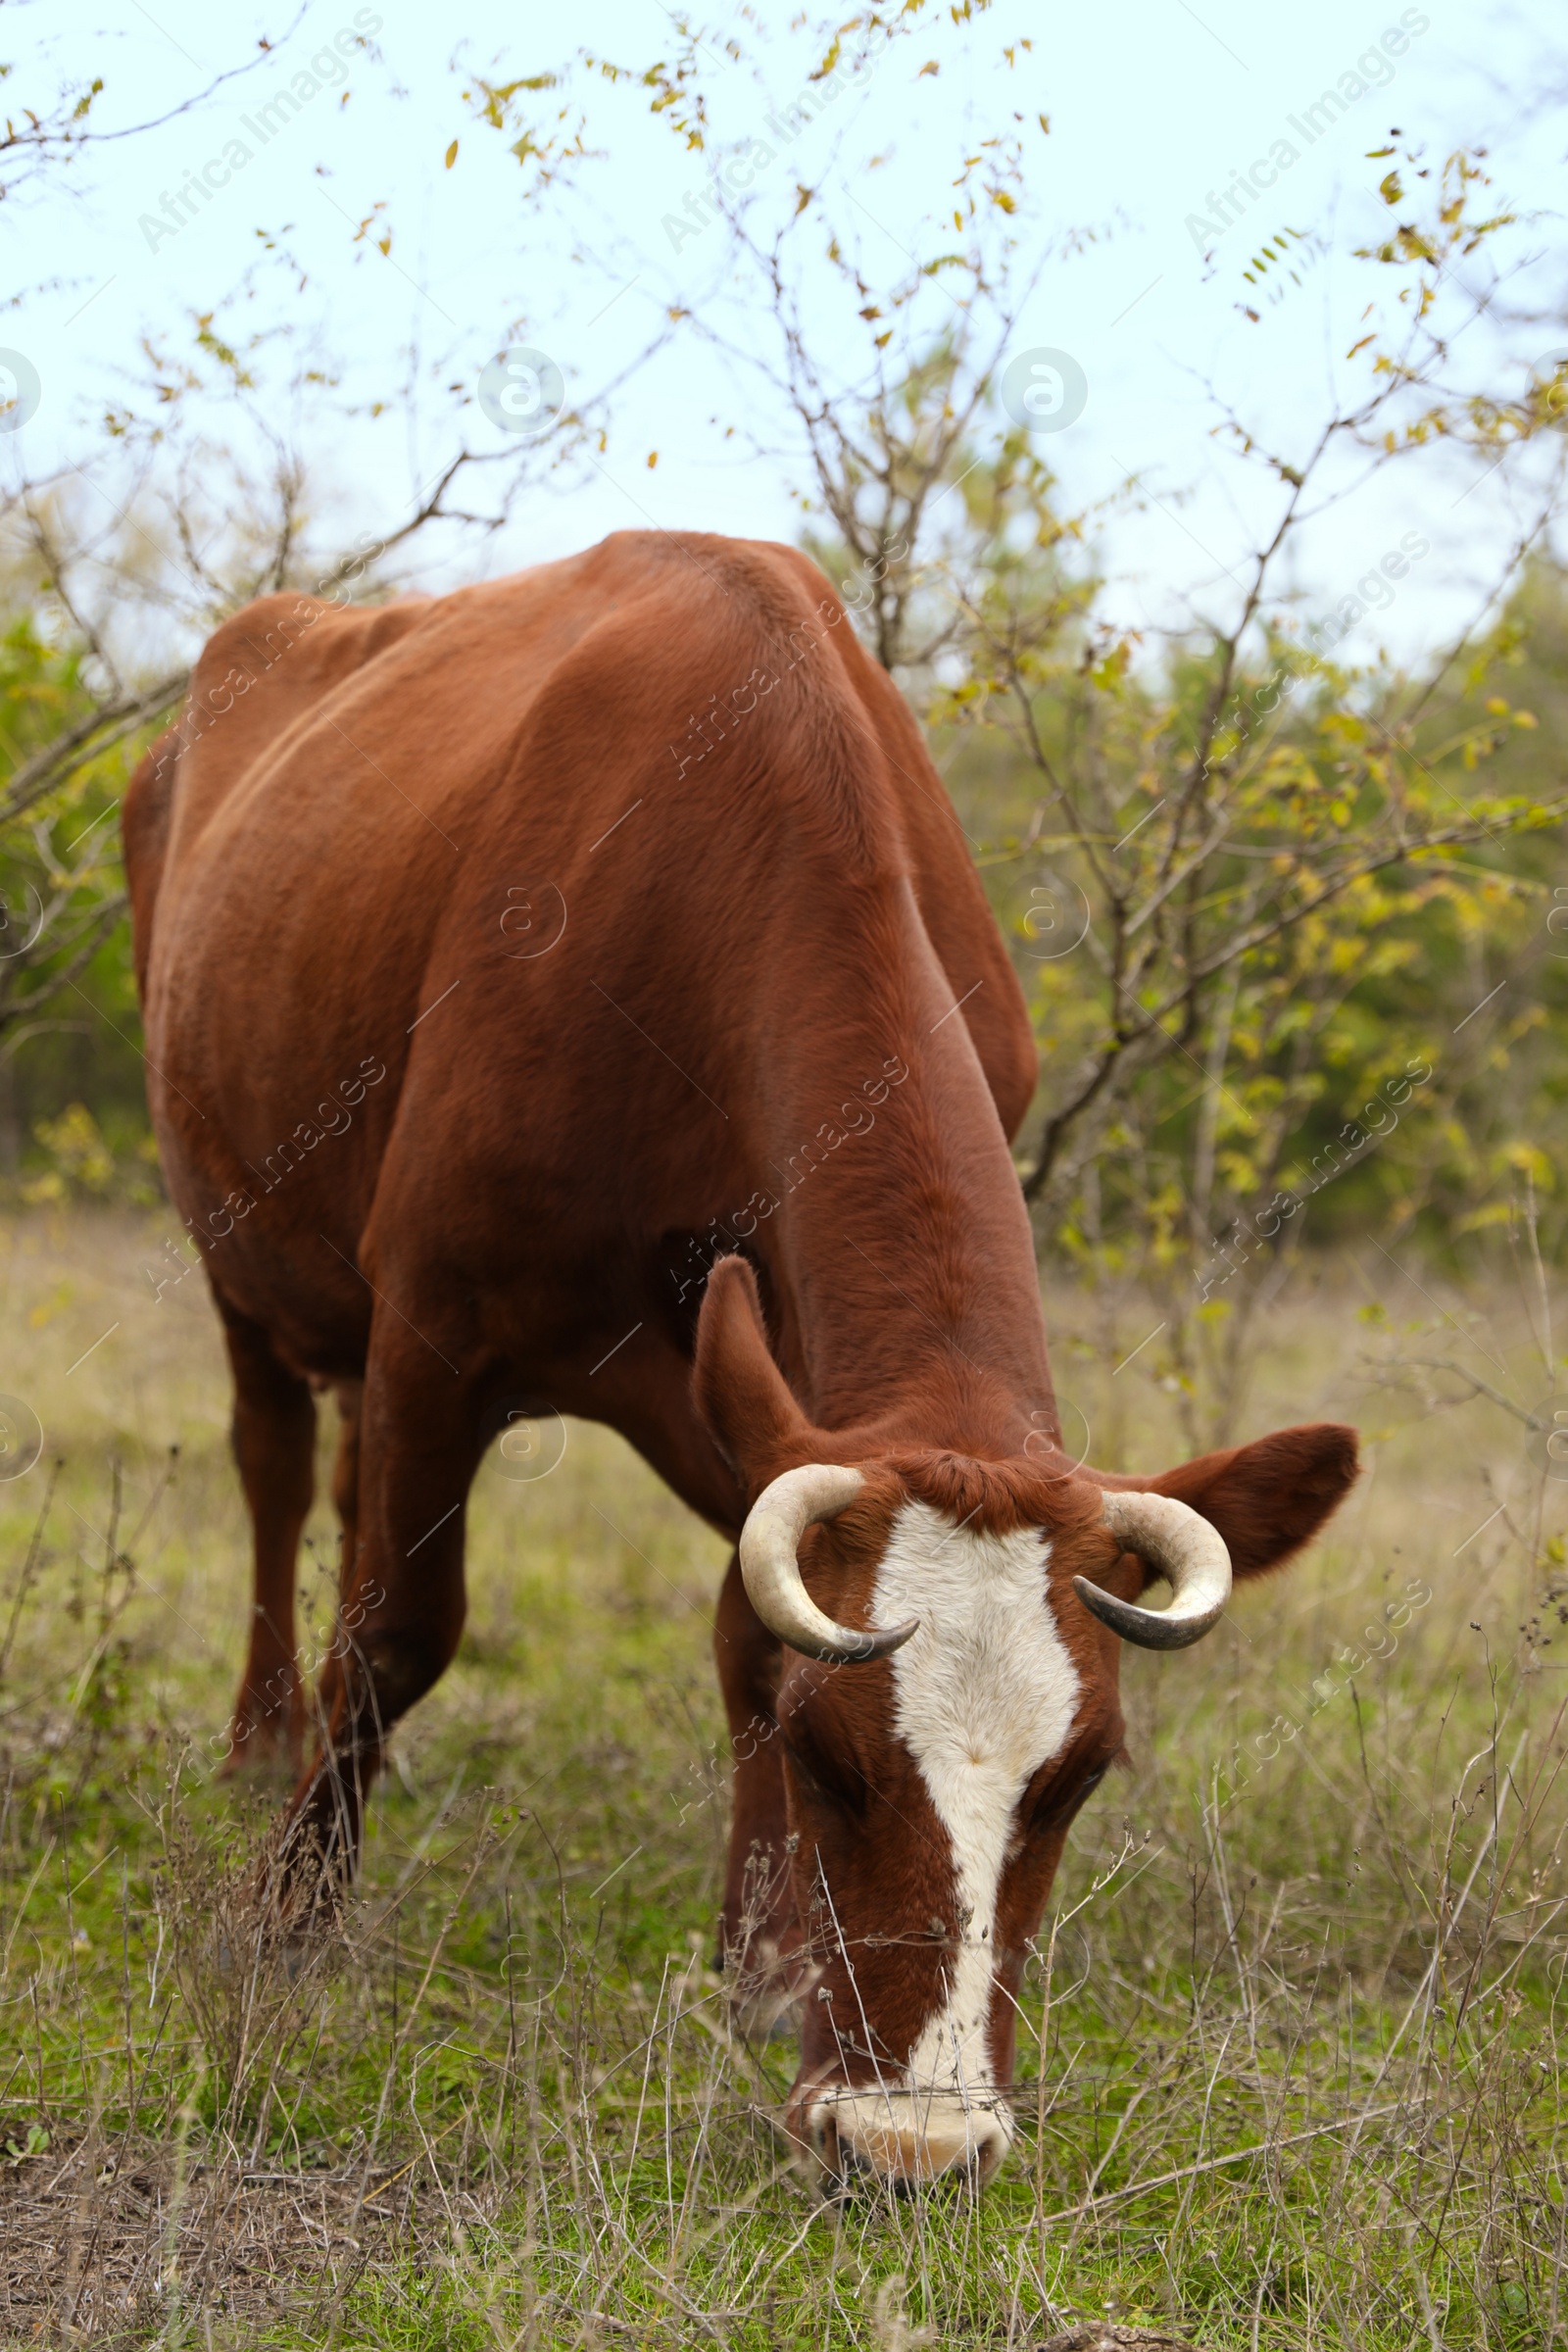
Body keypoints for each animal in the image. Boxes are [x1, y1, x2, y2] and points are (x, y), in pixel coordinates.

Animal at [122, 529, 1353, 2182]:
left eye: (1081, 1777)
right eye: (835, 1759)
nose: (916, 2144)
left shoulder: (760, 1401)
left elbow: (734, 1624)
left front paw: (760, 1959)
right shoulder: (437, 1320)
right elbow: (399, 1631)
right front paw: (294, 1918)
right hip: (238, 1248)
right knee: (273, 1465)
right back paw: (267, 1740)